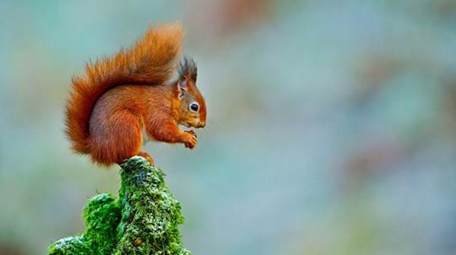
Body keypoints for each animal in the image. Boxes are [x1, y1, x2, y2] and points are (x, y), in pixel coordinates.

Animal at [64, 22, 207, 166]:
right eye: (194, 107)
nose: (203, 124)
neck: (170, 101)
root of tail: (95, 148)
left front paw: (191, 134)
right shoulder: (158, 112)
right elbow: (162, 130)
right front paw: (186, 136)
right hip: (127, 125)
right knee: (122, 156)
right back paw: (142, 155)